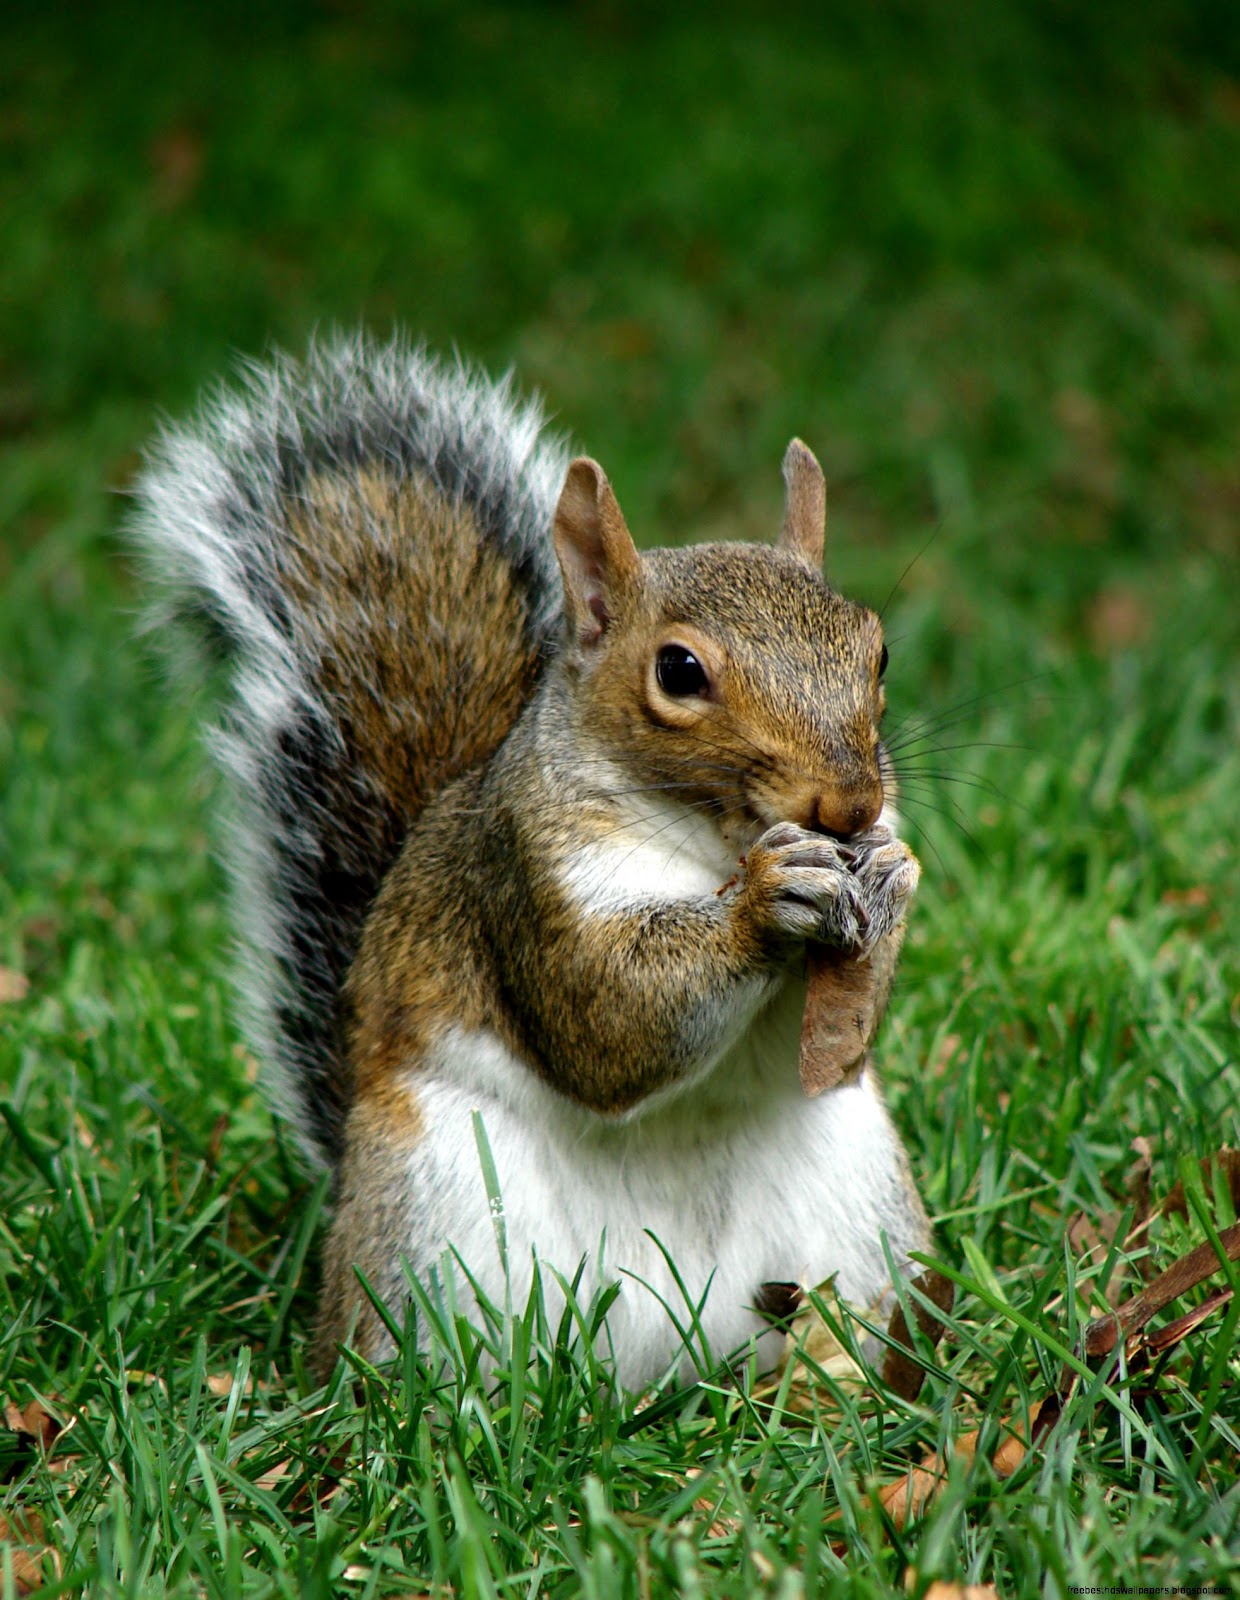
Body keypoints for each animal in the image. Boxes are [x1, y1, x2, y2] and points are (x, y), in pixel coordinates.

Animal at [134, 332, 930, 1389]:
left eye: (876, 652)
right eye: (679, 670)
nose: (850, 805)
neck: (709, 842)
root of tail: (669, 1363)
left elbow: (838, 1042)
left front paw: (891, 873)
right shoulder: (522, 878)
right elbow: (608, 1020)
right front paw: (766, 901)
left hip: (861, 1208)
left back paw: (837, 1384)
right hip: (431, 1213)